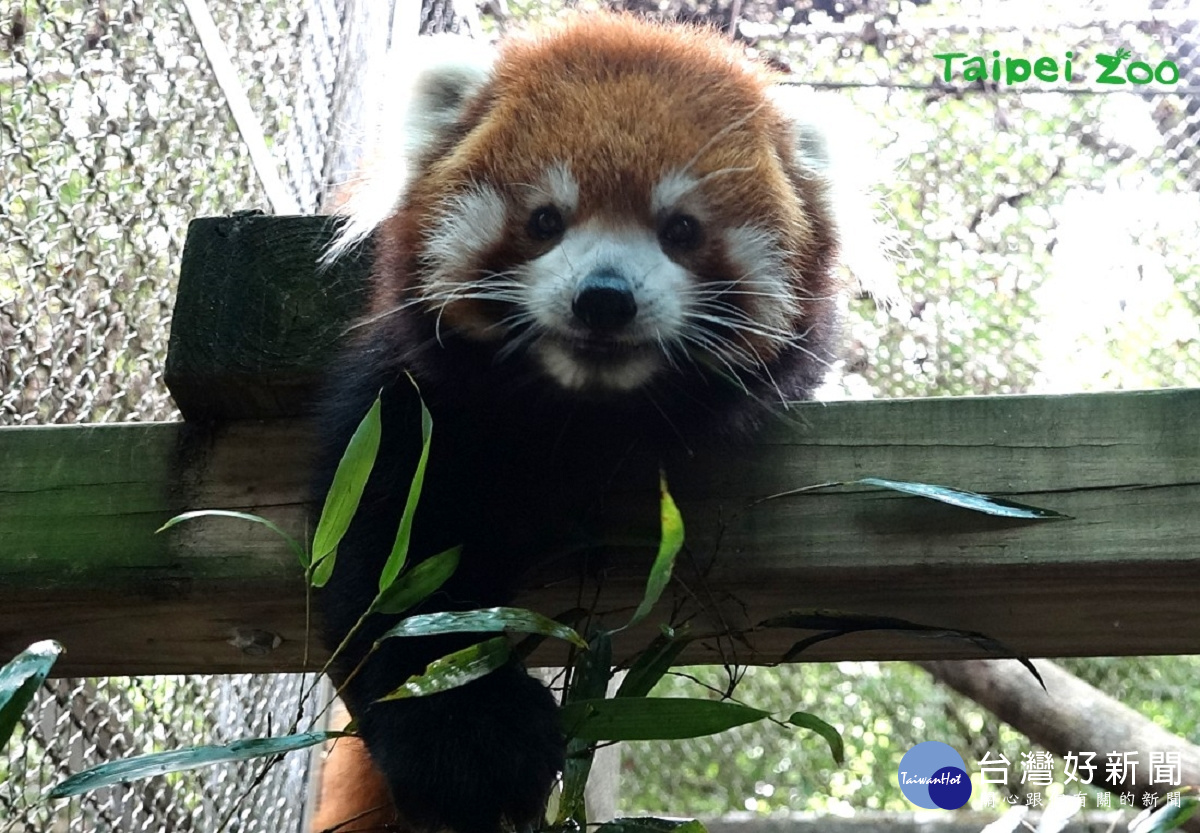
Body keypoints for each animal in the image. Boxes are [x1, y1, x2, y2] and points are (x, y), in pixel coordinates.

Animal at [309, 13, 854, 833]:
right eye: (545, 220)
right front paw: (467, 740)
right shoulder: (413, 412)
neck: (587, 414)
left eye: (681, 229)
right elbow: (387, 571)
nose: (604, 298)